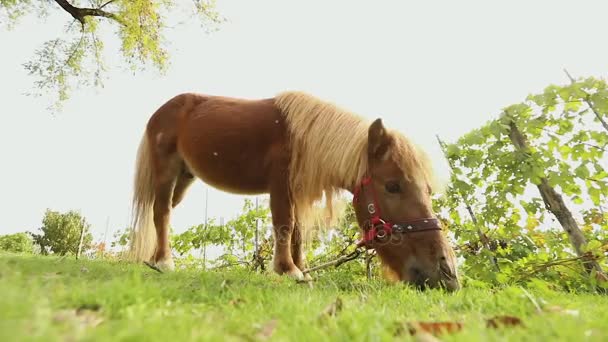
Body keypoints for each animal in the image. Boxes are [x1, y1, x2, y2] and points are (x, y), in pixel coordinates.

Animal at [129, 91, 460, 292]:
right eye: (393, 186)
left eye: (427, 189)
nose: (447, 273)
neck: (302, 138)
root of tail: (163, 110)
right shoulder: (281, 187)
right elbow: (285, 225)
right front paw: (288, 270)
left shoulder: (298, 191)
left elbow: (299, 232)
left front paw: (304, 273)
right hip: (166, 172)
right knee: (161, 213)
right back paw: (163, 261)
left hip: (185, 179)